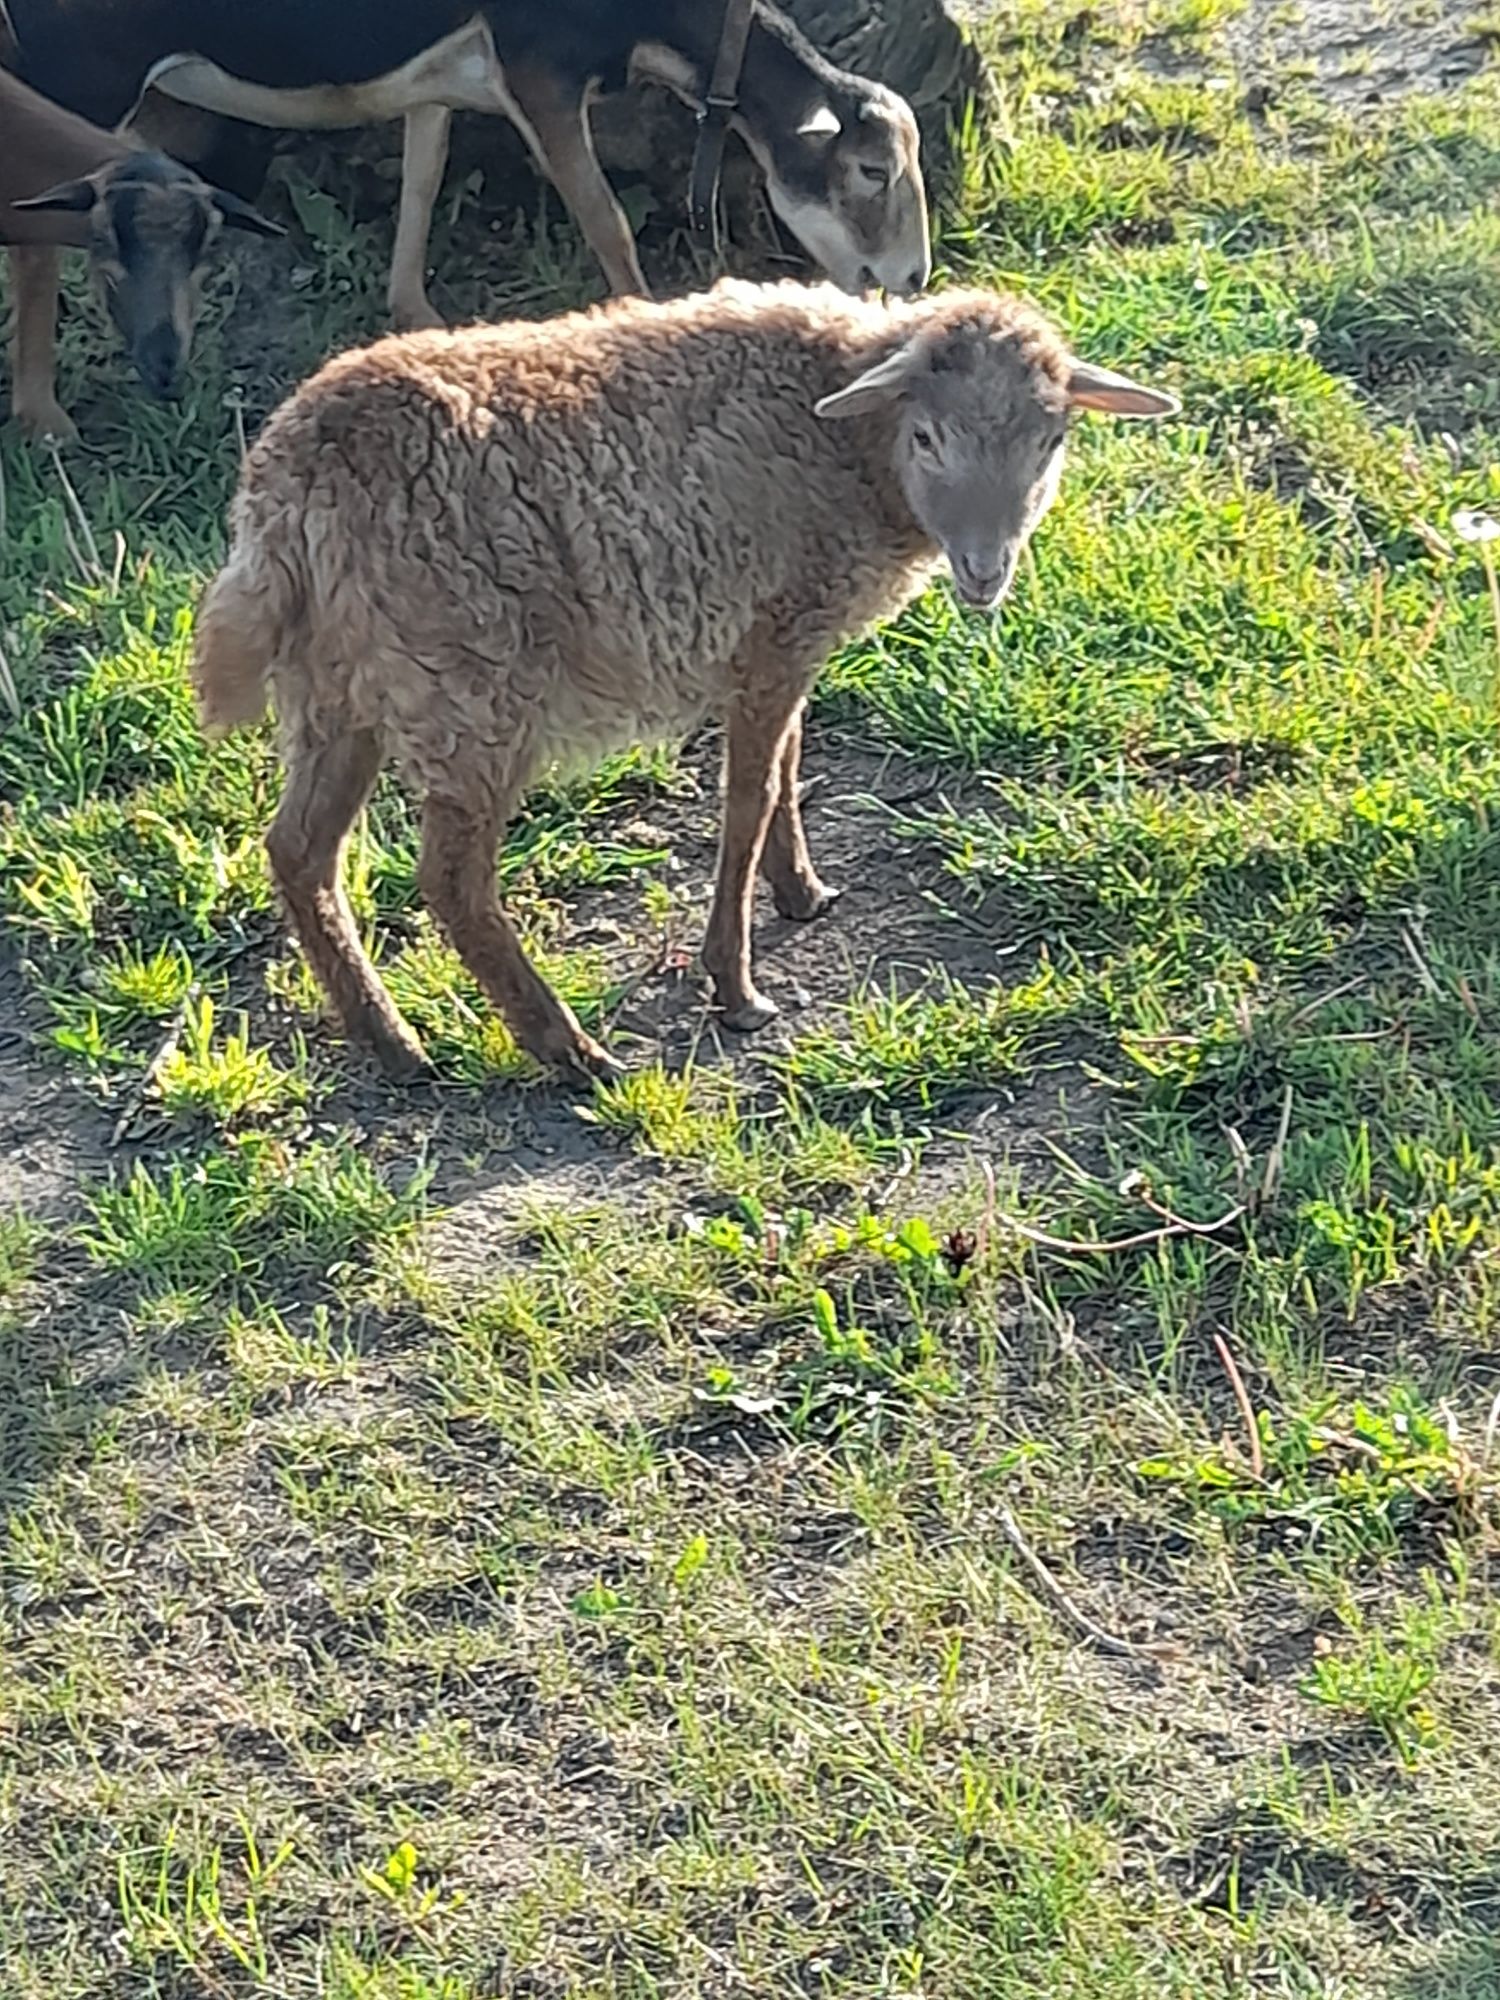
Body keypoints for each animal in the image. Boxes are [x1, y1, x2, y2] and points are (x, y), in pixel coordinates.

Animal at [188, 276, 1184, 1088]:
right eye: (929, 435)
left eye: (1050, 440)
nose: (984, 573)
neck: (845, 445)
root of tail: (286, 490)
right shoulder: (774, 632)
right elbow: (748, 798)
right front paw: (735, 983)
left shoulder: (788, 634)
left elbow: (787, 769)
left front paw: (801, 891)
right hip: (470, 688)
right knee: (451, 883)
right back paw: (568, 1050)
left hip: (342, 687)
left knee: (298, 851)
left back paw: (389, 1042)